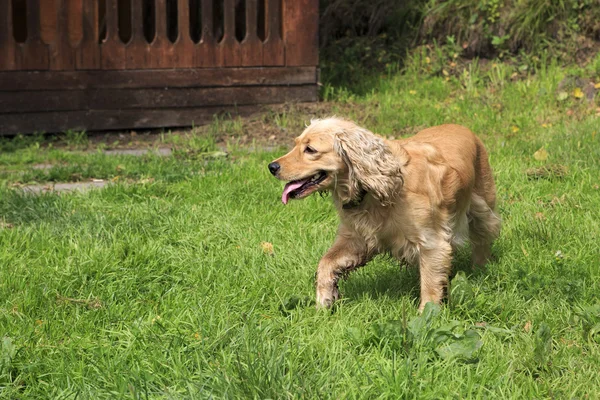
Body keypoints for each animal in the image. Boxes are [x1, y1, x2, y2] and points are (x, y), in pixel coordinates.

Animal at [268, 117, 502, 310]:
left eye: (310, 149)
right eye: (295, 144)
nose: (272, 166)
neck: (378, 189)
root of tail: (464, 128)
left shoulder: (432, 242)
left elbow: (430, 285)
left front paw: (426, 316)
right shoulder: (357, 238)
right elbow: (325, 262)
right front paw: (324, 300)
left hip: (482, 206)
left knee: (482, 239)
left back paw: (480, 269)